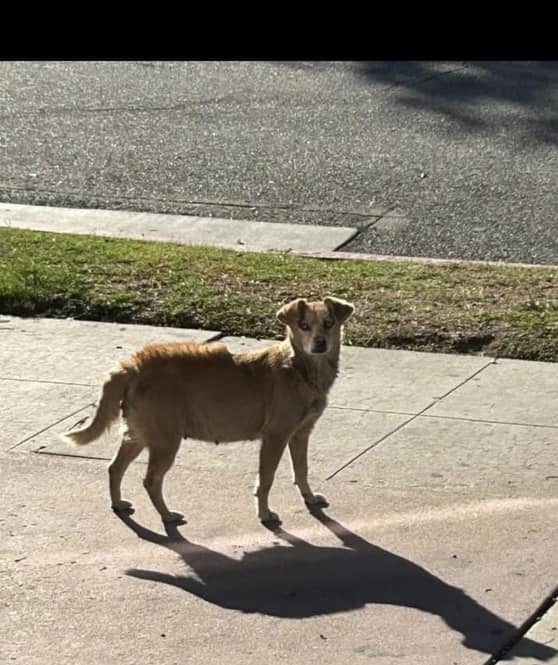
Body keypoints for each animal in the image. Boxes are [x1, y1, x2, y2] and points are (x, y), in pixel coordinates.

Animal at [64, 296, 354, 524]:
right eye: (304, 326)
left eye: (329, 323)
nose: (319, 343)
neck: (299, 368)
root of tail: (133, 364)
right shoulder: (275, 437)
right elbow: (266, 479)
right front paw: (264, 514)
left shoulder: (300, 434)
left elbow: (301, 470)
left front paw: (309, 497)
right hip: (165, 440)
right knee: (151, 481)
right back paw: (167, 515)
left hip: (139, 434)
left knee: (114, 468)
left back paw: (118, 503)